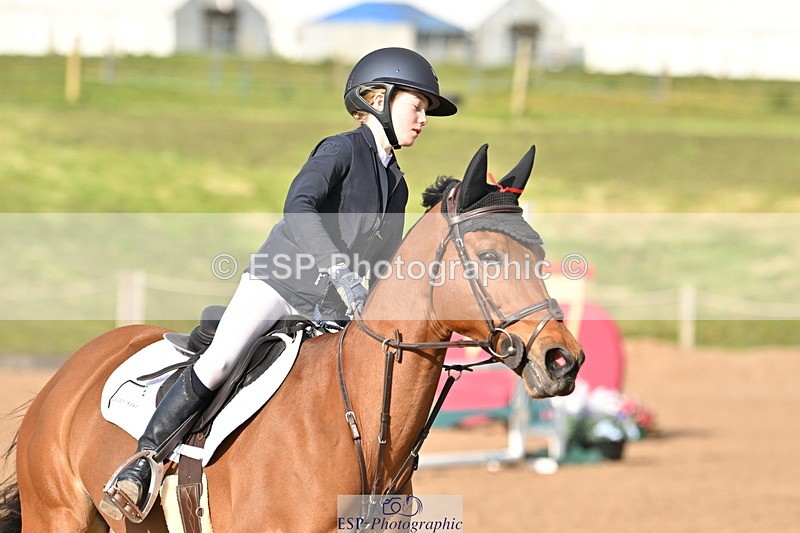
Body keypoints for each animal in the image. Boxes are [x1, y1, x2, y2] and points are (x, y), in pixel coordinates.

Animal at [0, 144, 584, 532]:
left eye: (539, 255)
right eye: (489, 257)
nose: (563, 360)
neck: (354, 416)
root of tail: (67, 374)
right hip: (58, 516)